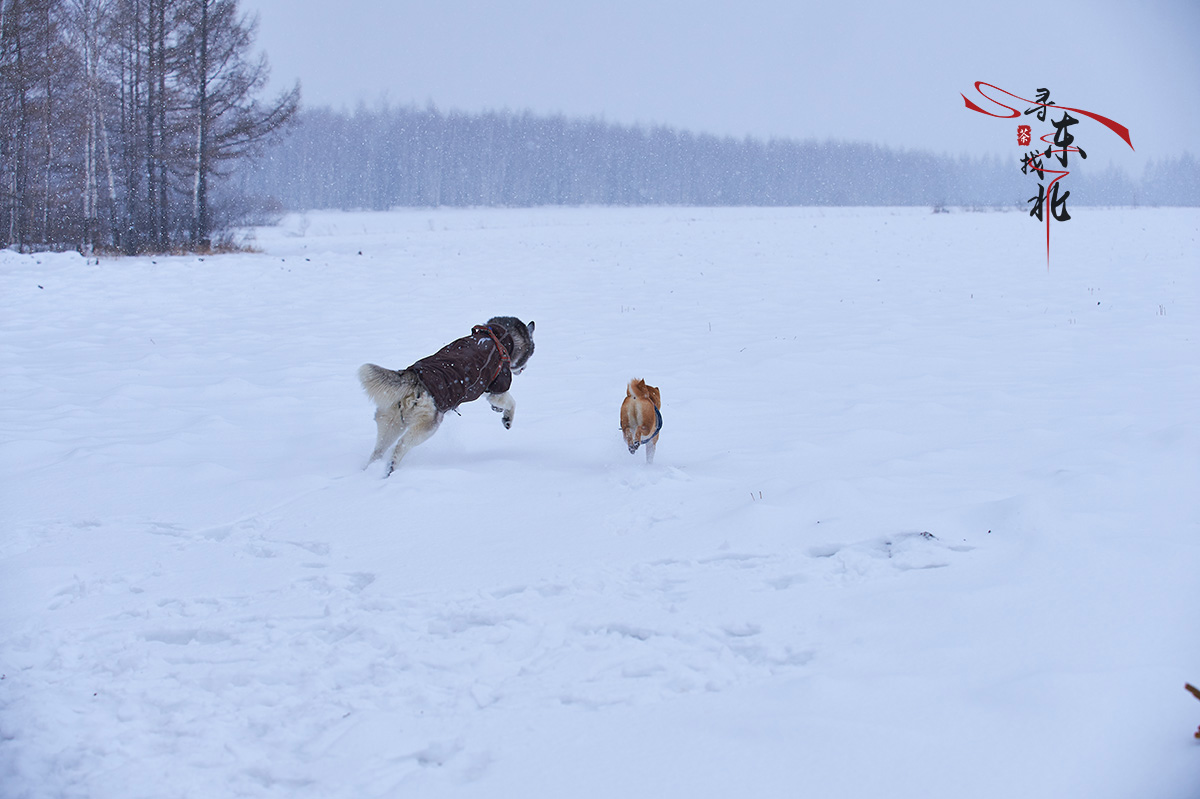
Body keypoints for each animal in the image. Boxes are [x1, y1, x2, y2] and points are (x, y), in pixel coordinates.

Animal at [357, 314, 537, 472]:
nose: (524, 368)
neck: (498, 338)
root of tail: (412, 376)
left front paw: (498, 410)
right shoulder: (497, 386)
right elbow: (511, 402)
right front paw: (507, 419)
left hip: (390, 423)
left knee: (378, 450)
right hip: (427, 426)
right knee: (401, 445)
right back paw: (389, 468)